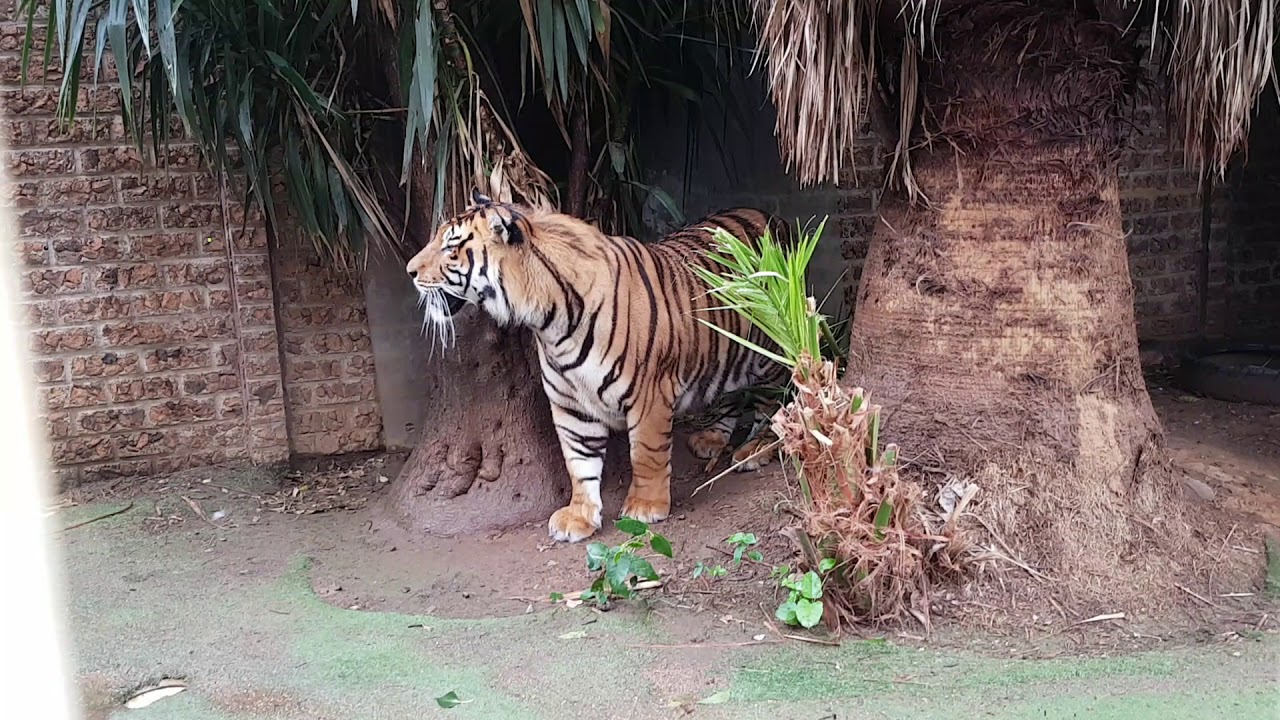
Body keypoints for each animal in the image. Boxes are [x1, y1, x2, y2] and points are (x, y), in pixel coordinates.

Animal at [406, 190, 785, 542]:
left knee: (776, 403)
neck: (550, 324)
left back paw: (756, 449)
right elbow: (578, 461)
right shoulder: (570, 402)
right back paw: (712, 437)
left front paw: (646, 506)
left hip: (771, 353)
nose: (410, 271)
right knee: (731, 393)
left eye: (450, 247)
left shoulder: (650, 394)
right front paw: (579, 516)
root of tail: (767, 215)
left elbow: (646, 453)